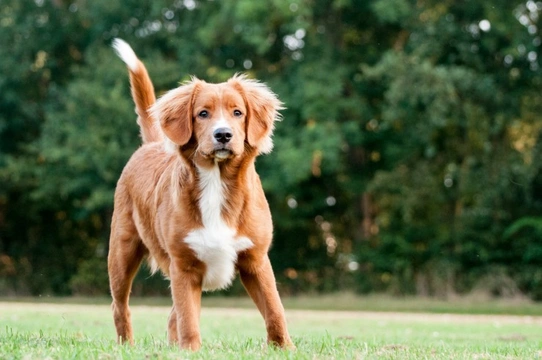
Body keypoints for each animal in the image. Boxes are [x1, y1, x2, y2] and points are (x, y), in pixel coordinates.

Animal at [106, 40, 294, 352]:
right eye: (202, 113)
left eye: (238, 112)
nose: (223, 135)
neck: (216, 183)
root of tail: (152, 144)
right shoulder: (183, 265)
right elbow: (188, 317)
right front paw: (190, 350)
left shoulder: (256, 260)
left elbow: (275, 310)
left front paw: (284, 348)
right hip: (122, 251)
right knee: (121, 306)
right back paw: (125, 346)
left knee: (171, 315)